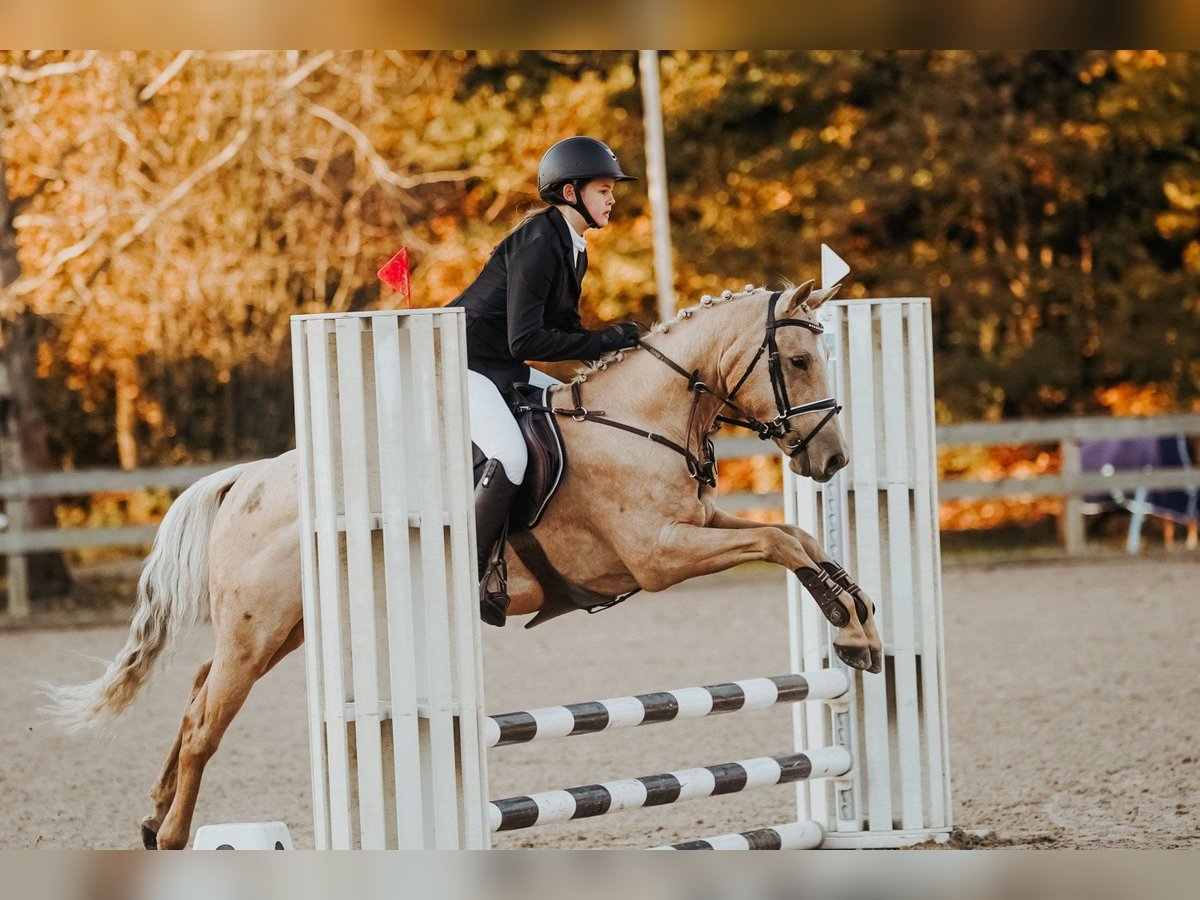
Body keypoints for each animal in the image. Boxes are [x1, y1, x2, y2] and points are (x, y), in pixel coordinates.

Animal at [46, 283, 883, 854]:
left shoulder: (699, 525)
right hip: (261, 633)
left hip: (286, 629)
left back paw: (155, 814)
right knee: (203, 724)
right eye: (798, 360)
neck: (642, 420)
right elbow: (780, 543)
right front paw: (853, 632)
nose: (833, 460)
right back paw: (175, 835)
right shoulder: (659, 554)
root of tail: (247, 480)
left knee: (196, 692)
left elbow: (796, 540)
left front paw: (861, 629)